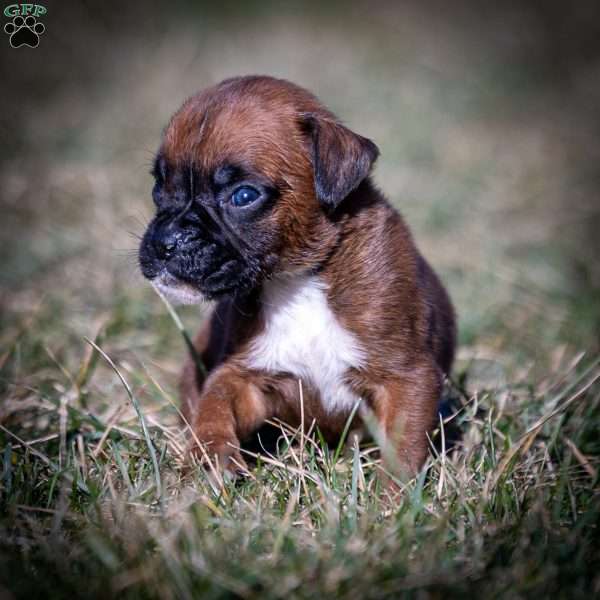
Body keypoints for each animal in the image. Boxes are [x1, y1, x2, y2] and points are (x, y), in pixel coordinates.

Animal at [138, 75, 458, 482]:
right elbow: (215, 404)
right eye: (158, 186)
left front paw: (395, 496)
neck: (299, 280)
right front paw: (210, 455)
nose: (164, 242)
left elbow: (402, 451)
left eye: (243, 196)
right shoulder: (244, 376)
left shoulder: (407, 378)